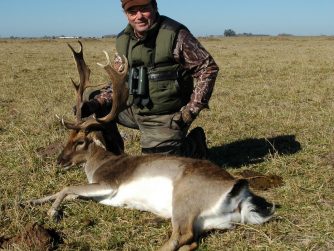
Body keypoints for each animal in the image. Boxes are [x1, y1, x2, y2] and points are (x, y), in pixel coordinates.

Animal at [28, 41, 274, 251]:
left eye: (80, 141)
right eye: (68, 136)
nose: (59, 160)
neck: (100, 164)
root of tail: (239, 194)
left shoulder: (108, 183)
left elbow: (67, 187)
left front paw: (51, 212)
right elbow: (69, 193)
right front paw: (29, 200)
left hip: (183, 201)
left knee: (180, 236)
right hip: (207, 222)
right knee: (191, 241)